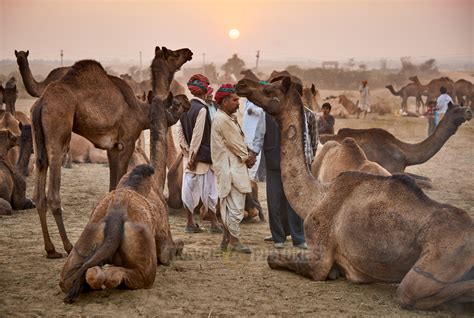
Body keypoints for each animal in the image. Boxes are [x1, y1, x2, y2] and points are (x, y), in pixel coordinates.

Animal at [31, 45, 193, 258]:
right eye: (174, 54)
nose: (189, 52)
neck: (142, 111)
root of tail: (41, 104)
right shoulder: (127, 141)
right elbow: (119, 181)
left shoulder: (112, 148)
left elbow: (112, 185)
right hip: (58, 132)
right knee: (53, 194)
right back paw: (67, 246)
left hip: (38, 141)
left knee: (39, 189)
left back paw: (50, 249)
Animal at [59, 94, 185, 304]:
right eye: (174, 105)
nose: (187, 104)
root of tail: (114, 221)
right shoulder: (165, 246)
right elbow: (176, 248)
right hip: (145, 263)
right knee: (121, 275)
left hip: (82, 246)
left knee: (77, 276)